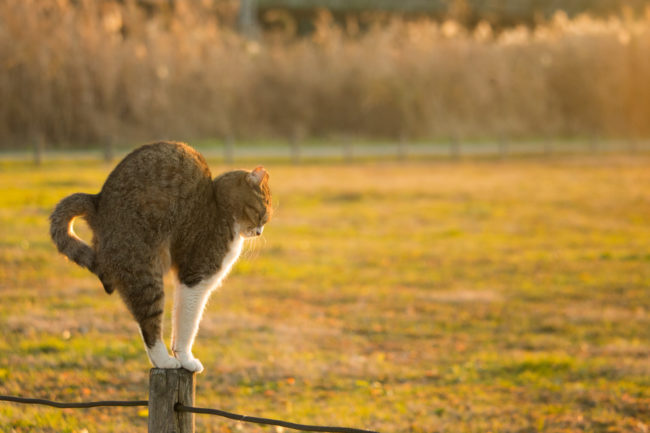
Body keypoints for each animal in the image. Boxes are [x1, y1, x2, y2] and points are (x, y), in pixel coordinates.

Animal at [49, 142, 270, 372]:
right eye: (264, 210)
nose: (260, 231)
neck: (220, 207)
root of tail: (97, 201)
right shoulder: (195, 276)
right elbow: (188, 323)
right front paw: (186, 359)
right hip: (144, 273)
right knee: (149, 327)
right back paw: (164, 360)